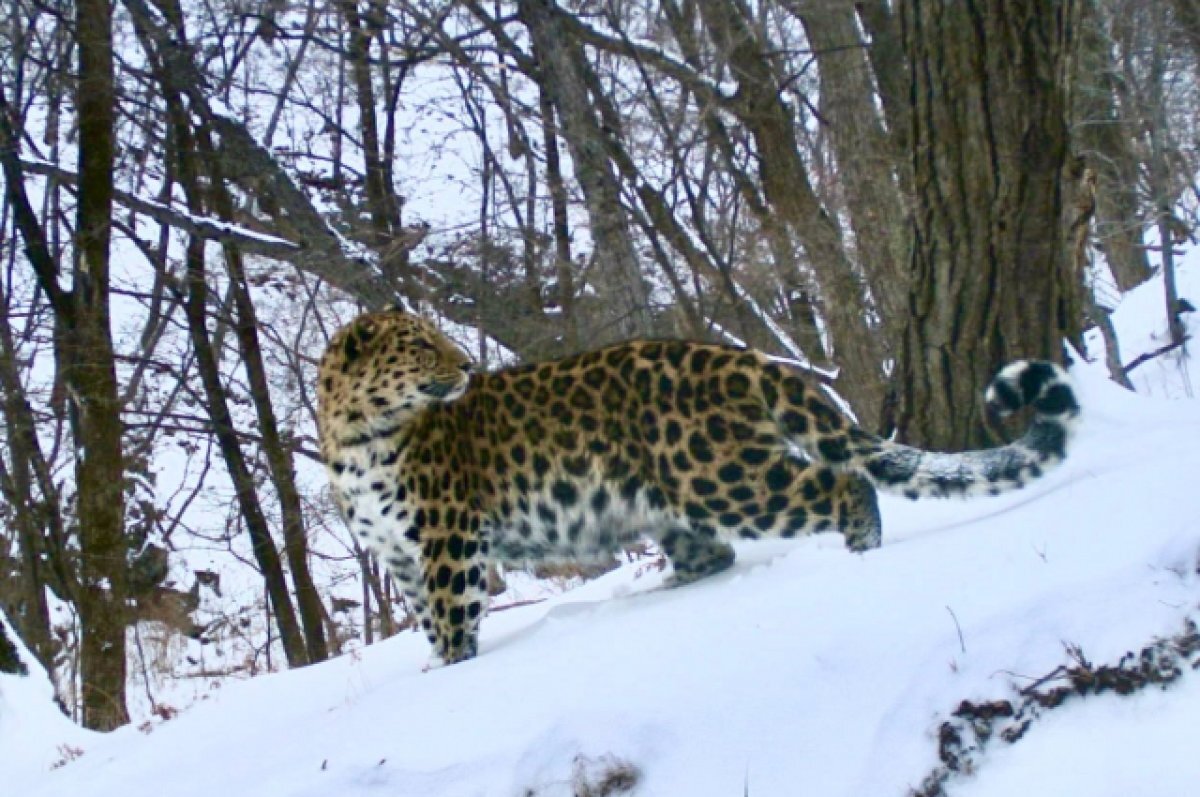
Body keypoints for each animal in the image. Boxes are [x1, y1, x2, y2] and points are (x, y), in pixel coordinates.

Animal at [316, 307, 1080, 662]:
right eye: (421, 346)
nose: (468, 364)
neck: (352, 437)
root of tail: (741, 357)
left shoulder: (447, 536)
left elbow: (451, 616)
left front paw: (452, 669)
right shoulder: (400, 555)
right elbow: (427, 619)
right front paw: (437, 669)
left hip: (720, 477)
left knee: (840, 485)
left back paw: (862, 550)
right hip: (669, 500)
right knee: (715, 552)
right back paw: (662, 590)